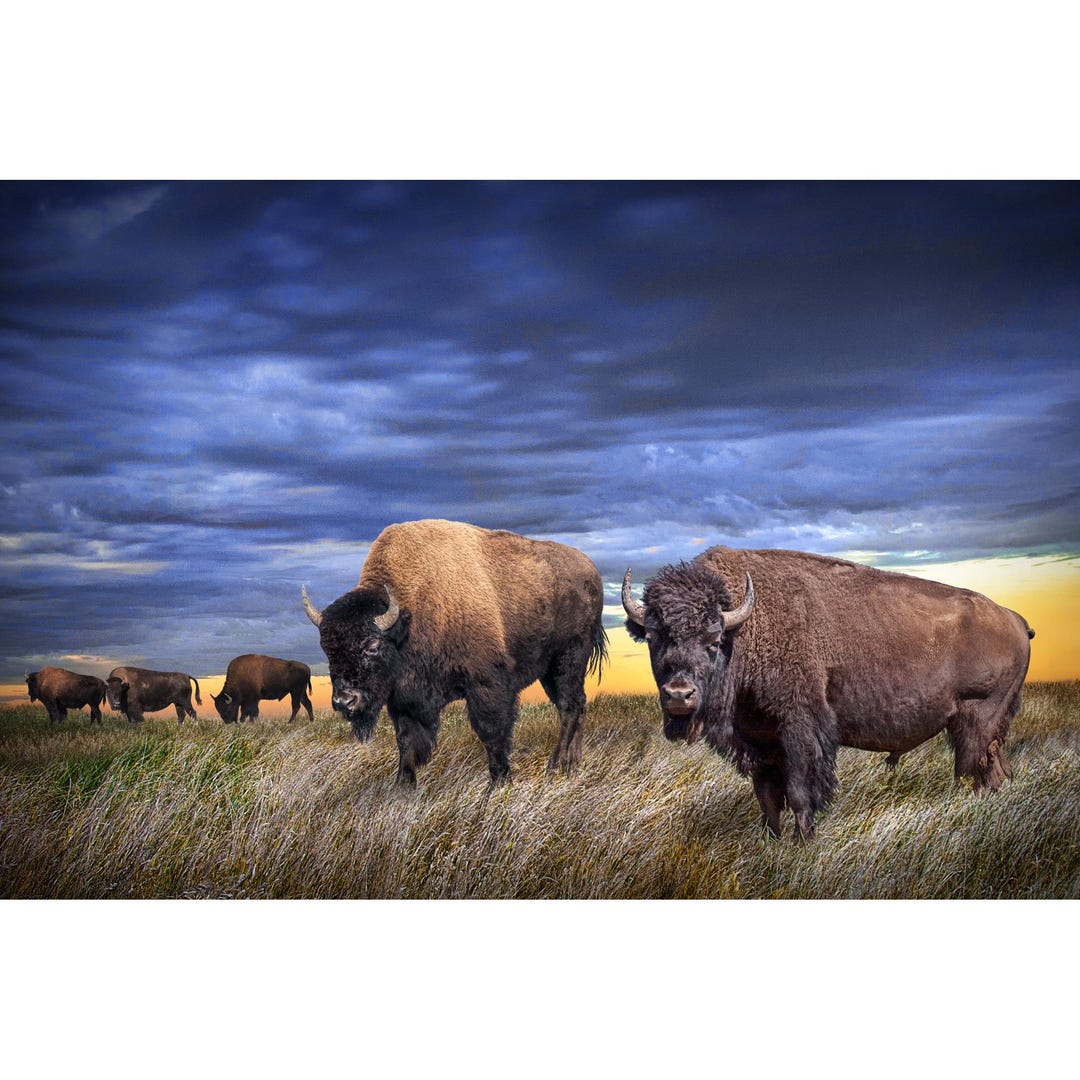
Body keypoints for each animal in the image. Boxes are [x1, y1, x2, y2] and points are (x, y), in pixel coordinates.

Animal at [302, 518, 608, 785]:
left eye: (372, 646)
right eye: (327, 649)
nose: (344, 701)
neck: (409, 615)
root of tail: (592, 571)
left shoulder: (486, 684)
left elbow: (492, 731)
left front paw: (499, 782)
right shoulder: (404, 699)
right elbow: (406, 740)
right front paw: (403, 784)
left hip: (568, 659)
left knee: (569, 706)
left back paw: (556, 765)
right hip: (550, 670)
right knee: (576, 706)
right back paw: (572, 763)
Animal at [623, 546, 1034, 842]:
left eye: (713, 640)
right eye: (655, 637)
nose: (679, 695)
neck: (748, 628)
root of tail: (1014, 619)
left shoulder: (799, 731)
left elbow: (800, 792)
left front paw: (803, 843)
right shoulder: (758, 742)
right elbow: (768, 798)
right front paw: (771, 842)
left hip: (977, 720)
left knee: (976, 771)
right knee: (996, 770)